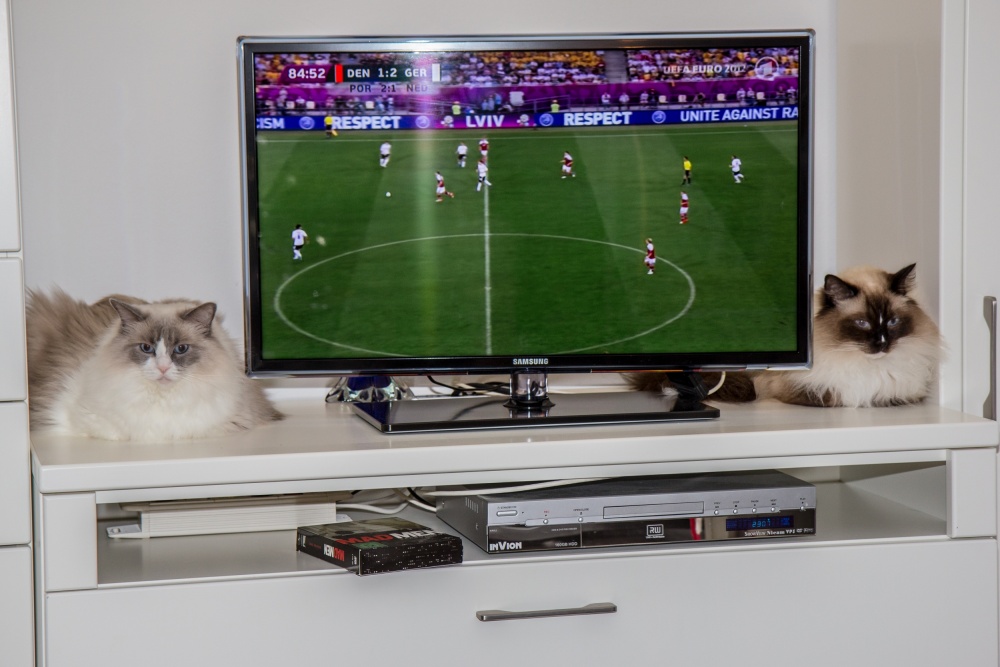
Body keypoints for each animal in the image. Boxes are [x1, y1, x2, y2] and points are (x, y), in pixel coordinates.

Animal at [628, 264, 943, 408]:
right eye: (863, 323)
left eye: (892, 321)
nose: (882, 344)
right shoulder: (797, 388)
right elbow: (834, 395)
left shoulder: (904, 391)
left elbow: (885, 395)